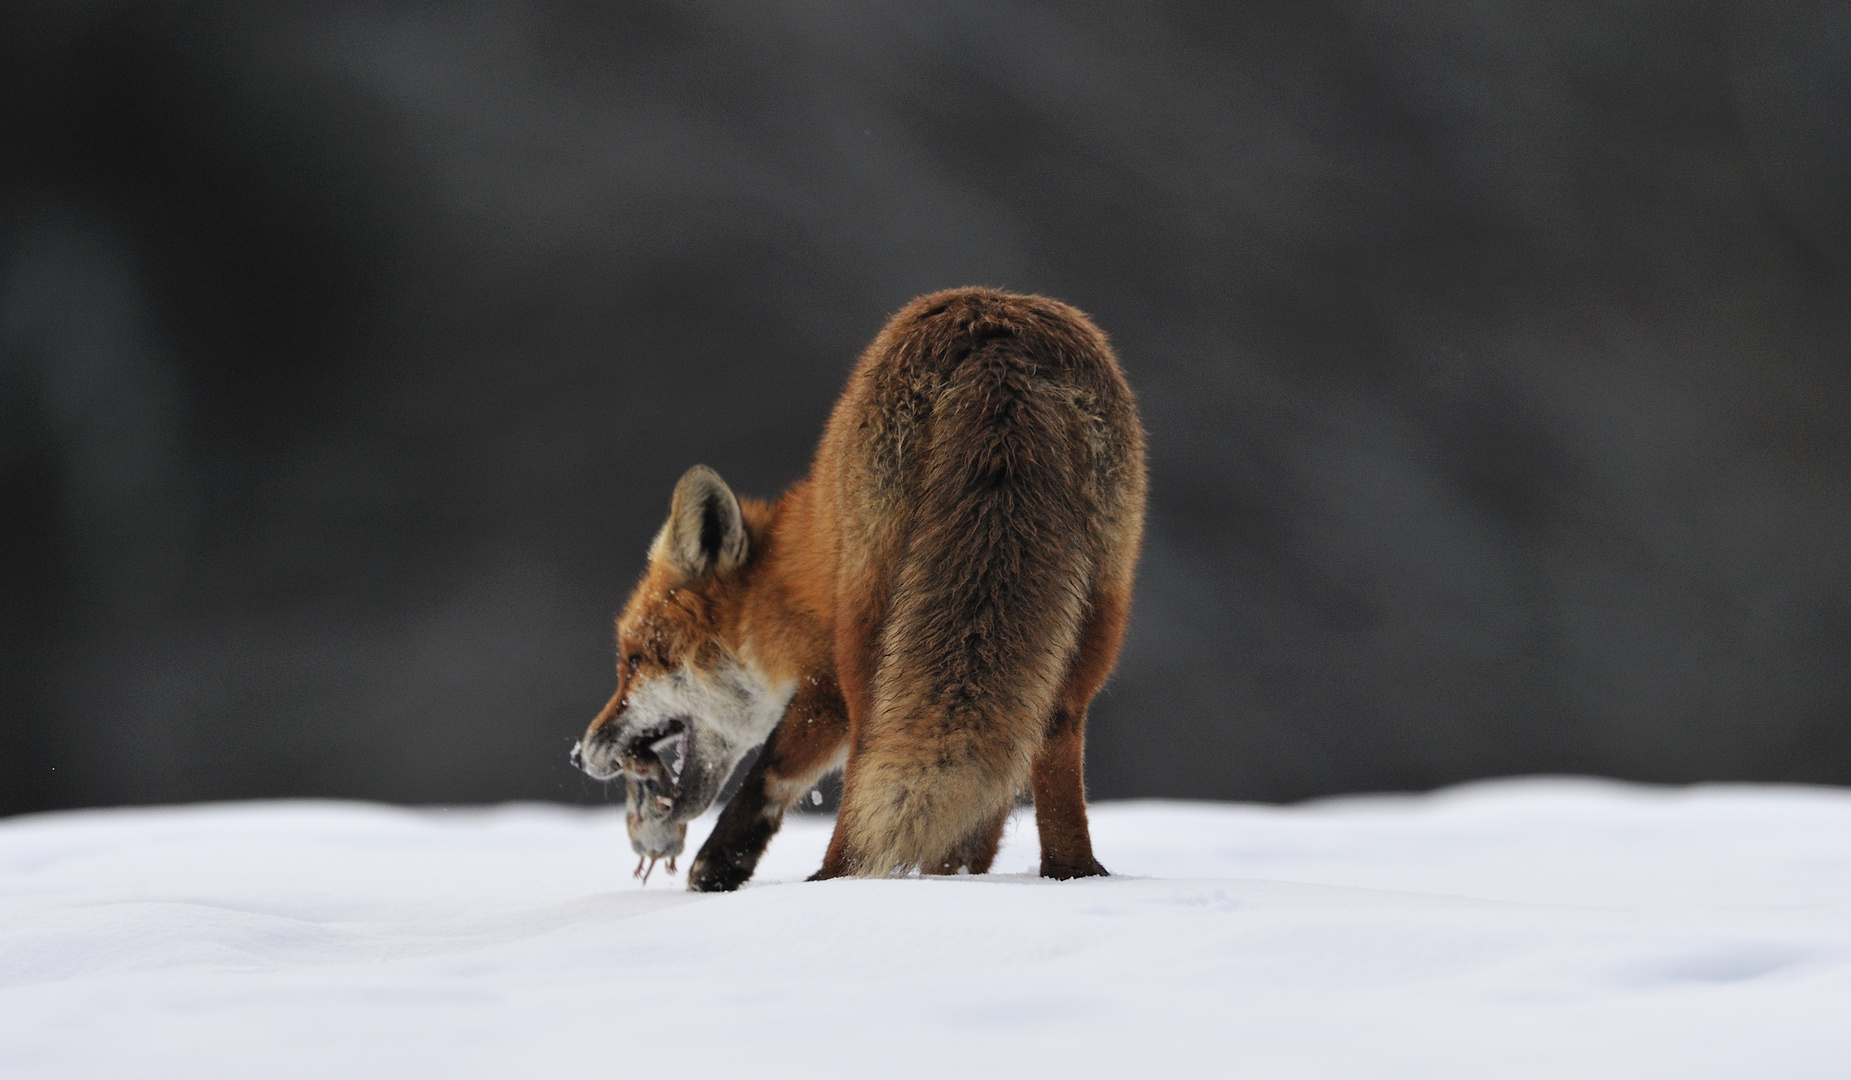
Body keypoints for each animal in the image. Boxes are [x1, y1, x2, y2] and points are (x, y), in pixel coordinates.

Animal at [570, 287, 1140, 889]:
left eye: (633, 662)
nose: (581, 753)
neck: (799, 573)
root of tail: (997, 335)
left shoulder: (823, 684)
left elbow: (772, 772)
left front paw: (717, 866)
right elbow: (979, 814)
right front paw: (956, 874)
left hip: (871, 643)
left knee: (871, 759)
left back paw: (840, 878)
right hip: (1090, 626)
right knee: (1053, 738)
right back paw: (1071, 876)